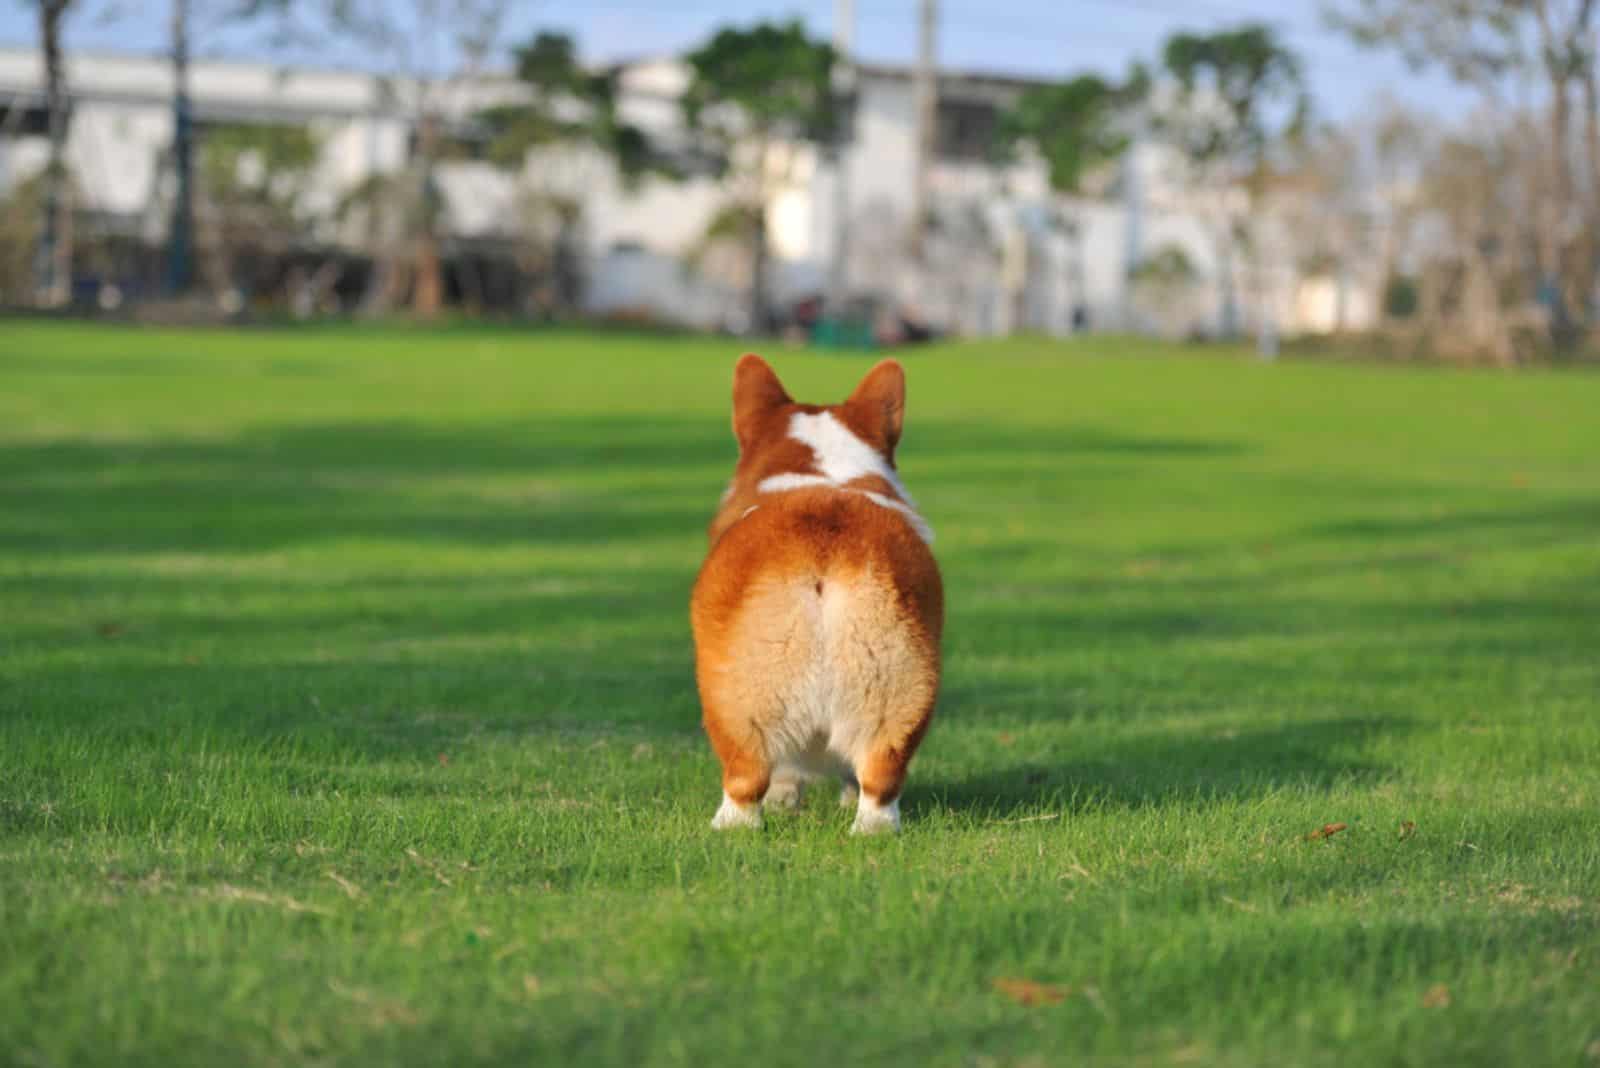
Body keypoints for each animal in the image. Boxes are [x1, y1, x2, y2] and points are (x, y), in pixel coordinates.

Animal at [688, 358, 934, 831]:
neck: (822, 470)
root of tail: (824, 544)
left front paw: (784, 803)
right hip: (898, 681)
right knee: (878, 778)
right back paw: (871, 828)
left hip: (737, 695)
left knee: (748, 776)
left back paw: (727, 827)